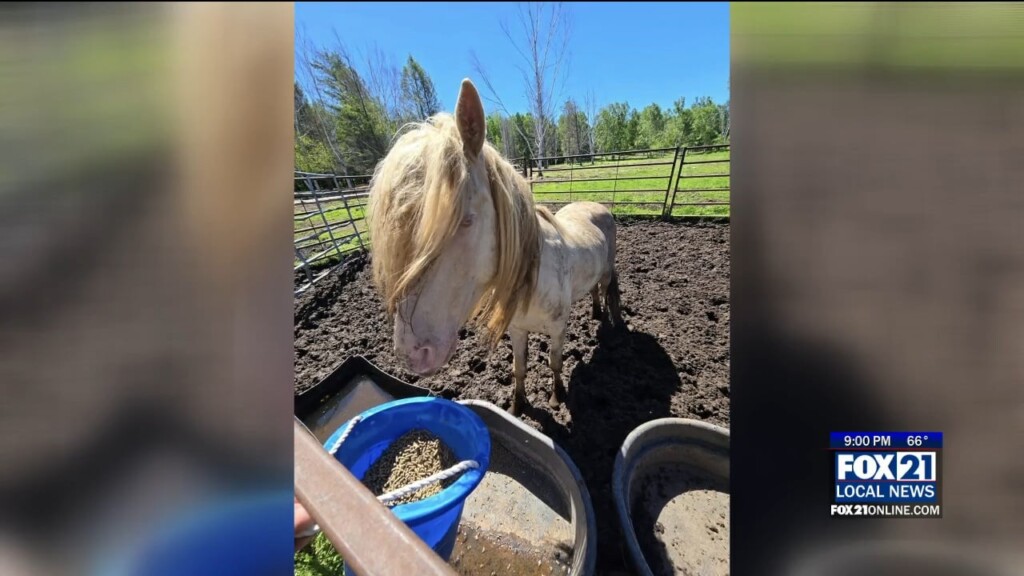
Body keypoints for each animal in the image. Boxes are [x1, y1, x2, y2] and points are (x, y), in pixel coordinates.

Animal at [367, 78, 623, 416]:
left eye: (466, 220)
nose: (413, 353)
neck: (534, 280)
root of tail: (597, 206)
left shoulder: (557, 330)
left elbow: (555, 364)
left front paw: (556, 397)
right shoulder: (517, 330)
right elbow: (519, 369)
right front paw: (517, 406)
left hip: (607, 271)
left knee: (605, 290)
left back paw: (605, 320)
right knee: (594, 290)